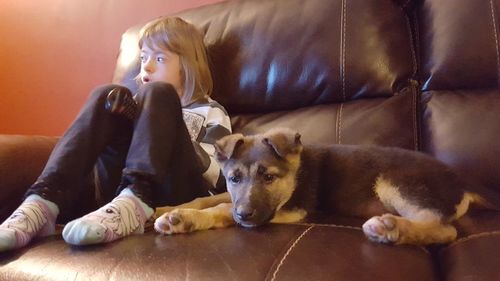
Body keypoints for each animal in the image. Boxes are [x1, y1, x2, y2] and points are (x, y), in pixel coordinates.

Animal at [154, 128, 498, 244]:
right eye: (234, 177)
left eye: (269, 178)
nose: (246, 215)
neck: (297, 173)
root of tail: (461, 178)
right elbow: (210, 198)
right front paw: (170, 208)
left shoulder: (293, 209)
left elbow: (224, 207)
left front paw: (181, 219)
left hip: (394, 181)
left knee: (445, 229)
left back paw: (391, 228)